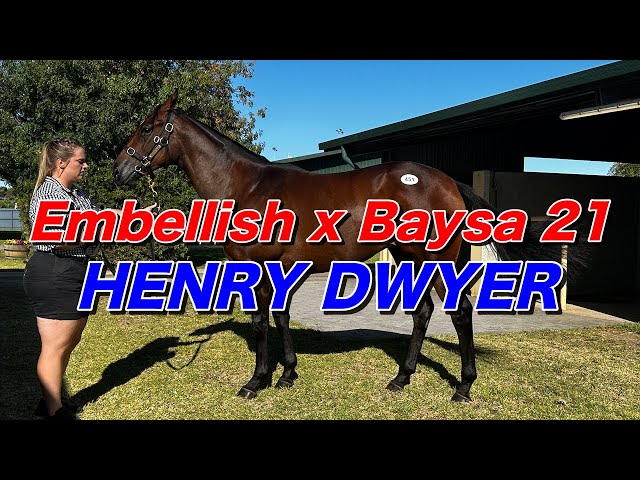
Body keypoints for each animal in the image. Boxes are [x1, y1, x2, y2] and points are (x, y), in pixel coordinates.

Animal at [113, 91, 562, 402]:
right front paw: (287, 374)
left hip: (436, 260)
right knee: (423, 314)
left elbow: (261, 323)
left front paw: (256, 382)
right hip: (410, 257)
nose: (119, 169)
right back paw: (401, 378)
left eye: (147, 129)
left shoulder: (256, 266)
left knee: (461, 312)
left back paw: (463, 387)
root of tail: (450, 181)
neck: (248, 187)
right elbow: (280, 319)